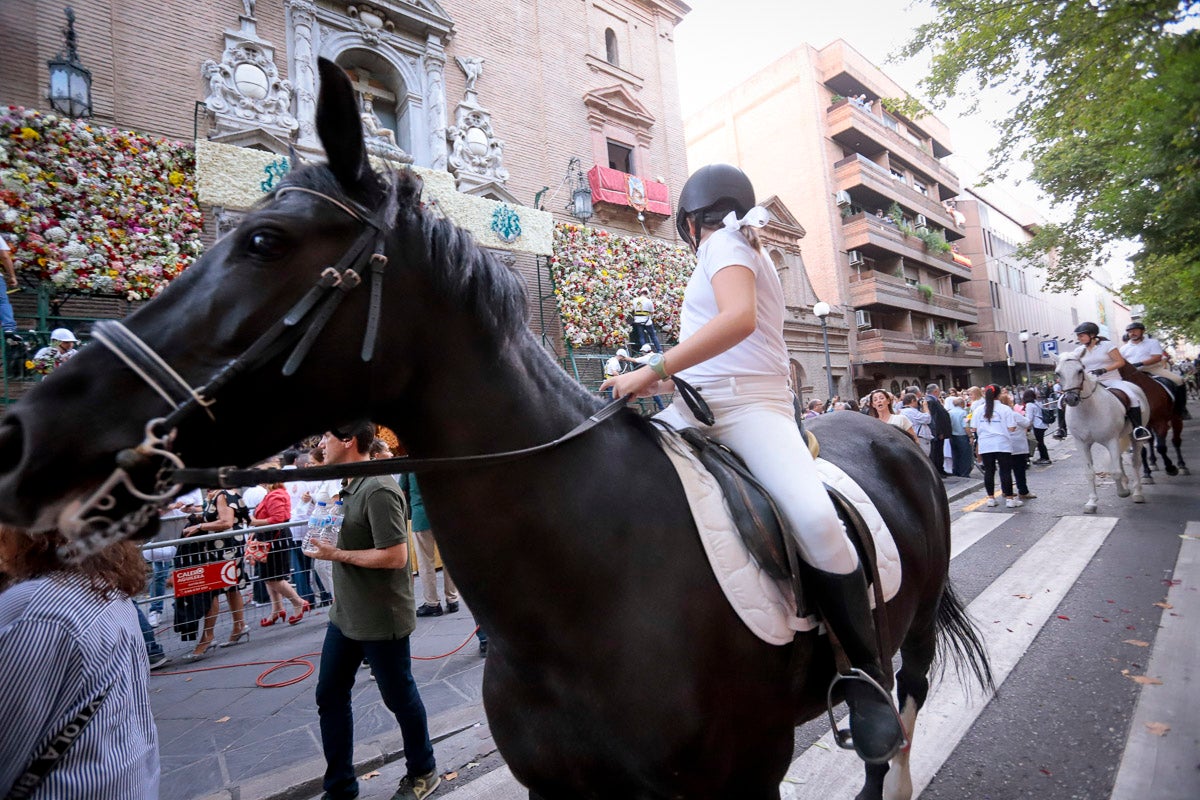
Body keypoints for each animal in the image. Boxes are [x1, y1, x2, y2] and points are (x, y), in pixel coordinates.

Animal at [0, 62, 988, 800]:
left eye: (265, 242)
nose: (25, 432)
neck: (589, 587)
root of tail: (888, 434)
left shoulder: (738, 782)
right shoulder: (566, 790)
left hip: (909, 639)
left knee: (895, 719)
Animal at [1056, 355, 1147, 513]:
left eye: (1080, 370)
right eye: (1058, 373)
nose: (1071, 399)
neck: (1088, 409)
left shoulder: (1111, 440)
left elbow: (1115, 471)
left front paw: (1123, 492)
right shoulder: (1082, 443)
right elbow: (1089, 472)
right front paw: (1091, 503)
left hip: (1133, 437)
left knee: (1135, 461)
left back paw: (1137, 493)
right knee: (1120, 459)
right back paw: (1126, 483)